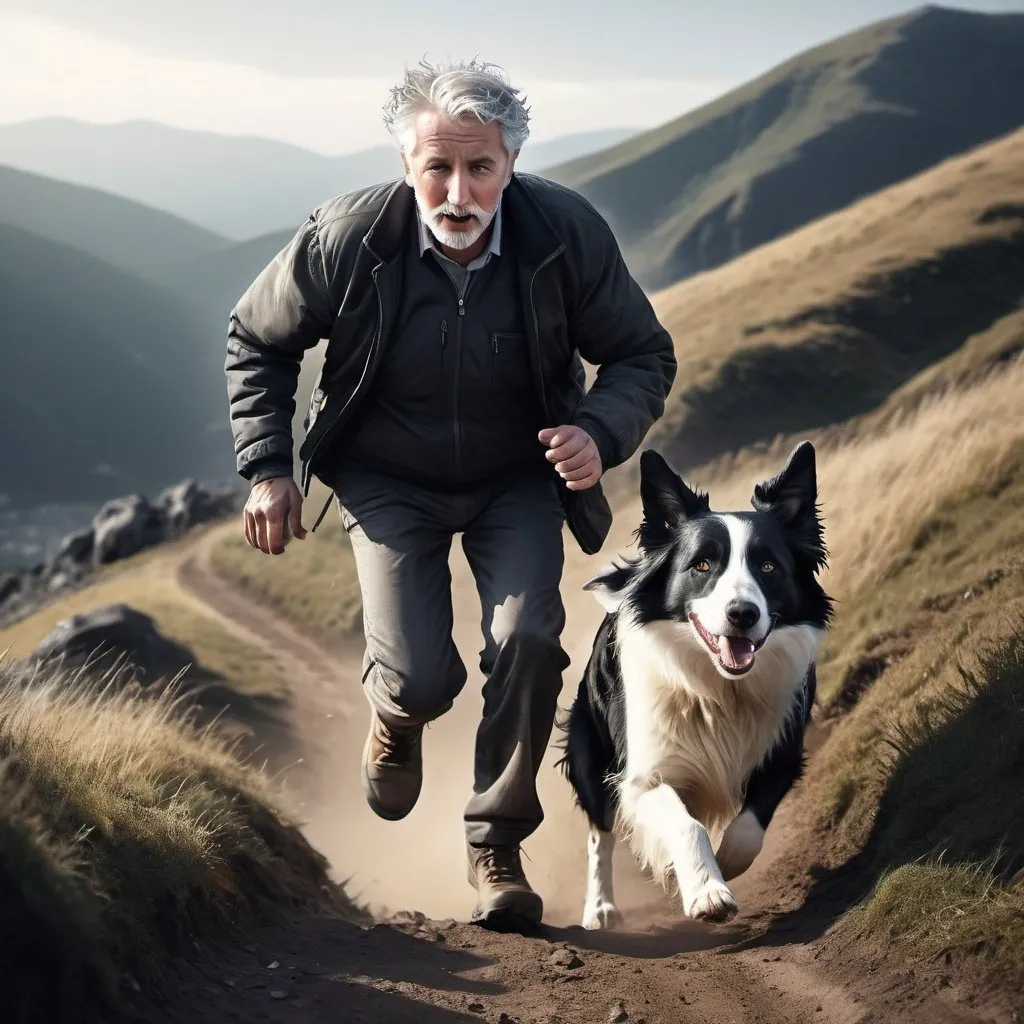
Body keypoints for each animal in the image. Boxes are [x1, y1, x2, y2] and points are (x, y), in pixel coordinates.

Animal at [561, 440, 831, 929]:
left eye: (768, 566)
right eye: (702, 565)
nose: (742, 613)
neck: (719, 688)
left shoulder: (782, 751)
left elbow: (747, 829)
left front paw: (720, 866)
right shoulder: (643, 774)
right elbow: (686, 824)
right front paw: (707, 892)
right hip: (591, 750)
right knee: (599, 833)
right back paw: (601, 908)